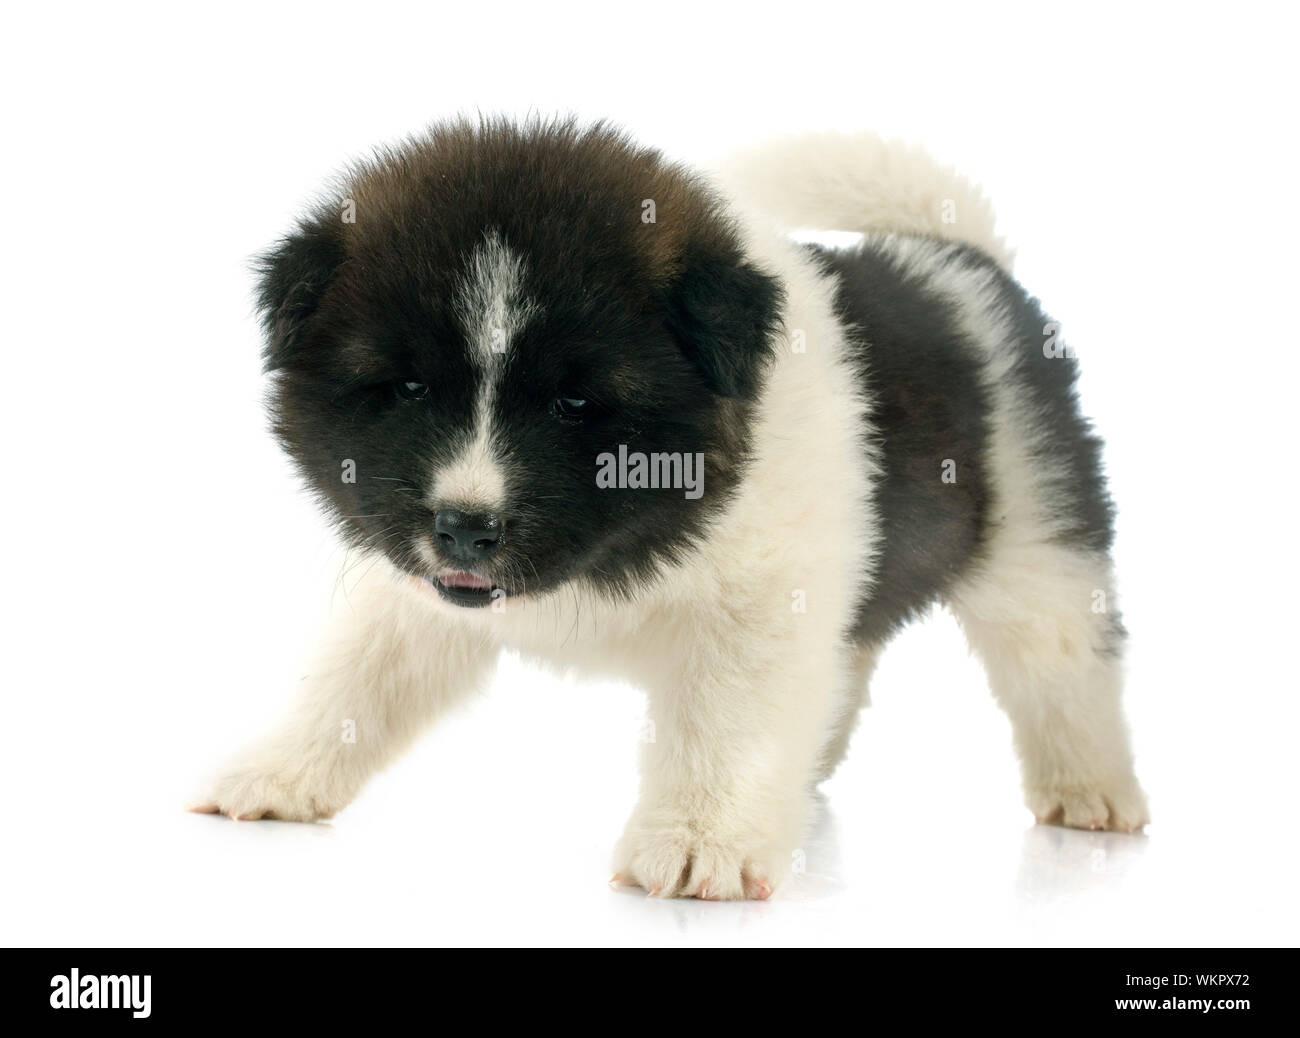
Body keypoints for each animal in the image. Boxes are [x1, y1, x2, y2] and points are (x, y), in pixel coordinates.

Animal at [192, 117, 1149, 900]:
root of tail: (962, 261)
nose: (465, 526)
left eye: (576, 403)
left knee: (1062, 665)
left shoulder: (757, 605)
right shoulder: (413, 591)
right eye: (411, 387)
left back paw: (1093, 792)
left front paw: (699, 844)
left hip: (1037, 538)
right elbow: (352, 680)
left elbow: (725, 722)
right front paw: (276, 773)